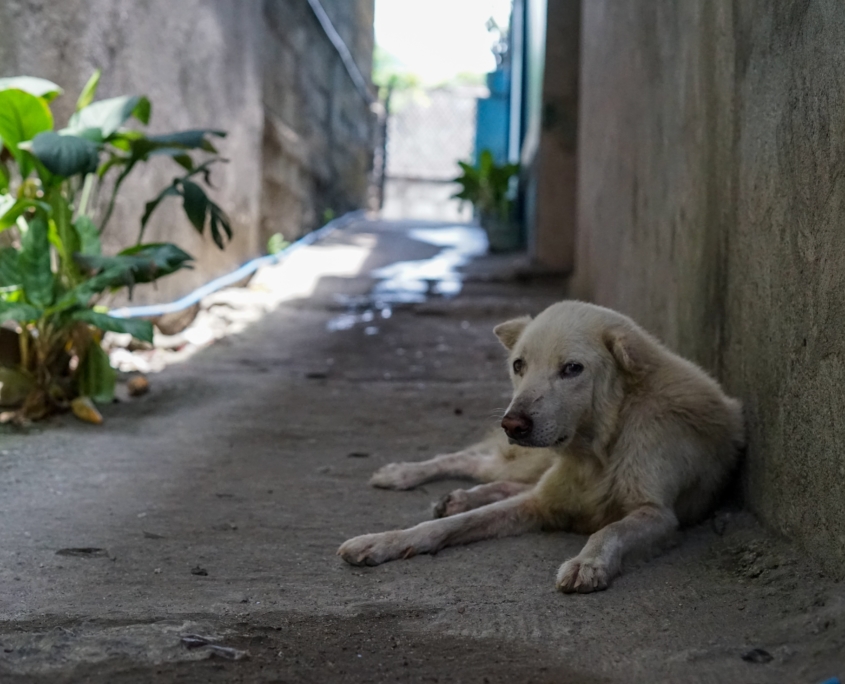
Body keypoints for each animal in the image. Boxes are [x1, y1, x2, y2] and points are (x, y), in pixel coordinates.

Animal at [332, 300, 740, 592]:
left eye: (572, 369)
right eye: (519, 365)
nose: (512, 424)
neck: (599, 451)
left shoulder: (659, 515)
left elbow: (609, 530)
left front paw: (588, 562)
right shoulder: (539, 502)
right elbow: (448, 525)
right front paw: (383, 541)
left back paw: (458, 495)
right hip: (525, 460)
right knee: (472, 461)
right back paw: (403, 474)